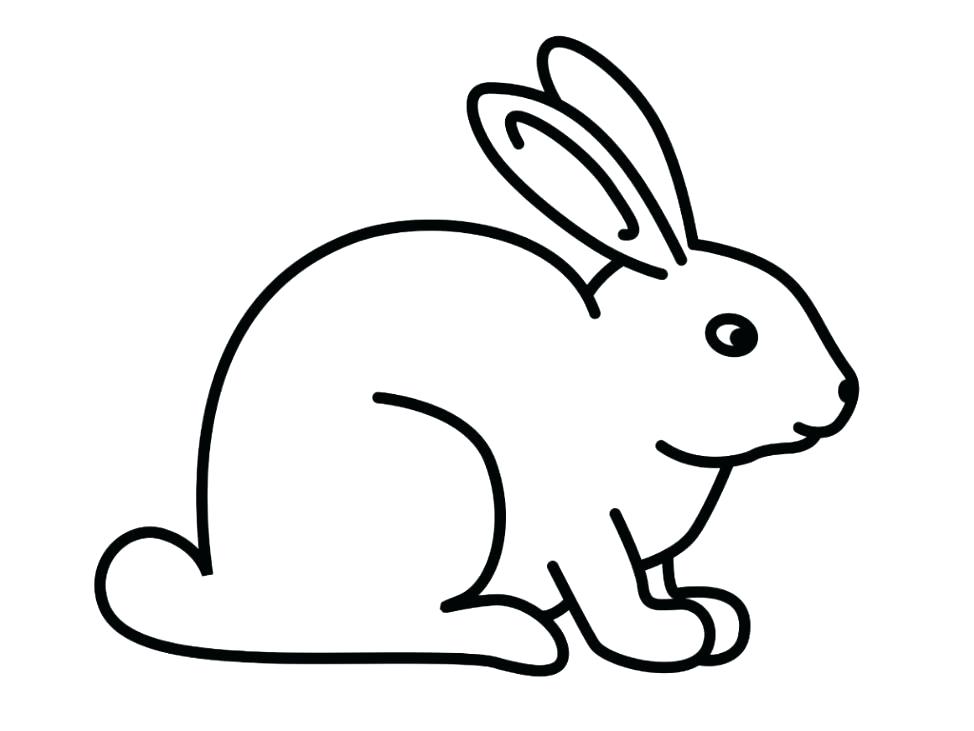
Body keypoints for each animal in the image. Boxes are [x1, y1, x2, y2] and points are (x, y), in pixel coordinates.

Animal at [95, 36, 858, 675]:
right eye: (733, 336)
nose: (843, 394)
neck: (621, 386)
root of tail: (237, 587)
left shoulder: (649, 550)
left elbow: (657, 576)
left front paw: (711, 615)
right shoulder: (582, 529)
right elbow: (609, 591)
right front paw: (665, 638)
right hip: (441, 472)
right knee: (388, 624)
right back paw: (516, 635)